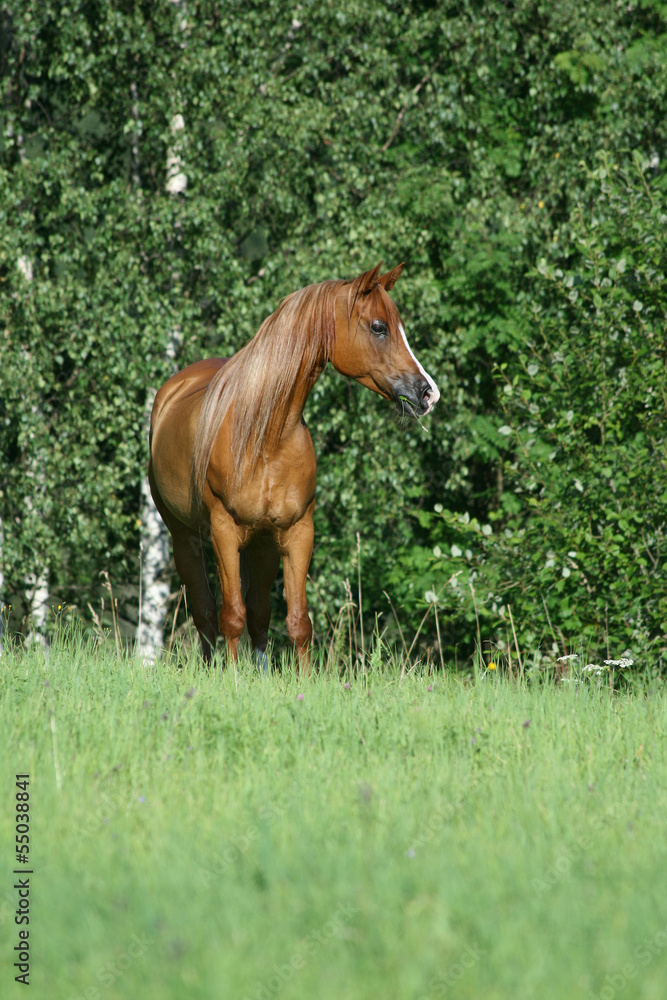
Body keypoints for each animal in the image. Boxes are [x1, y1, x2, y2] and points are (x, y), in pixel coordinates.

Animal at [148, 261, 439, 670]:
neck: (266, 437)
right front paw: (231, 678)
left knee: (257, 613)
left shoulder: (297, 533)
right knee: (205, 612)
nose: (428, 393)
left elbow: (297, 622)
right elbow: (230, 616)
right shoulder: (223, 533)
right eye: (379, 327)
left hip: (262, 545)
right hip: (184, 537)